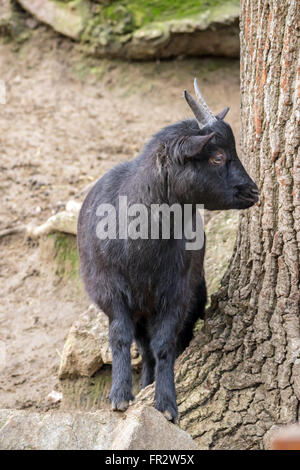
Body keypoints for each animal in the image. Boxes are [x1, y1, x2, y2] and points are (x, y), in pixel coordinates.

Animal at [77, 79, 258, 424]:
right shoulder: (108, 290)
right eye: (217, 157)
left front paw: (166, 403)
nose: (253, 191)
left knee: (165, 345)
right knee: (142, 347)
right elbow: (119, 336)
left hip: (192, 294)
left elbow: (165, 346)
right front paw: (120, 396)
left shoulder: (177, 292)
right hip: (139, 308)